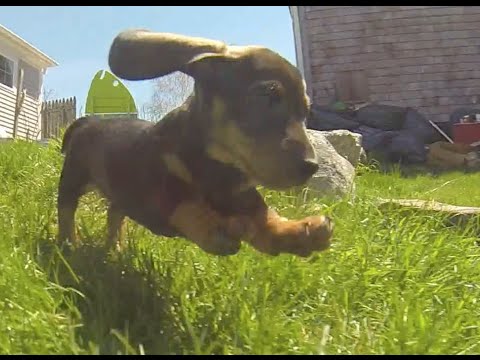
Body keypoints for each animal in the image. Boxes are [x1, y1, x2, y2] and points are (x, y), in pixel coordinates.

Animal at [58, 29, 332, 258]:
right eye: (265, 95)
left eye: (305, 112)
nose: (311, 167)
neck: (216, 168)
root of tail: (88, 121)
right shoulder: (153, 191)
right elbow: (183, 202)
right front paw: (212, 226)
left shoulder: (241, 194)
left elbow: (263, 217)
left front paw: (298, 231)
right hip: (72, 180)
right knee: (66, 213)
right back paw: (69, 246)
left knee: (115, 214)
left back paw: (114, 248)